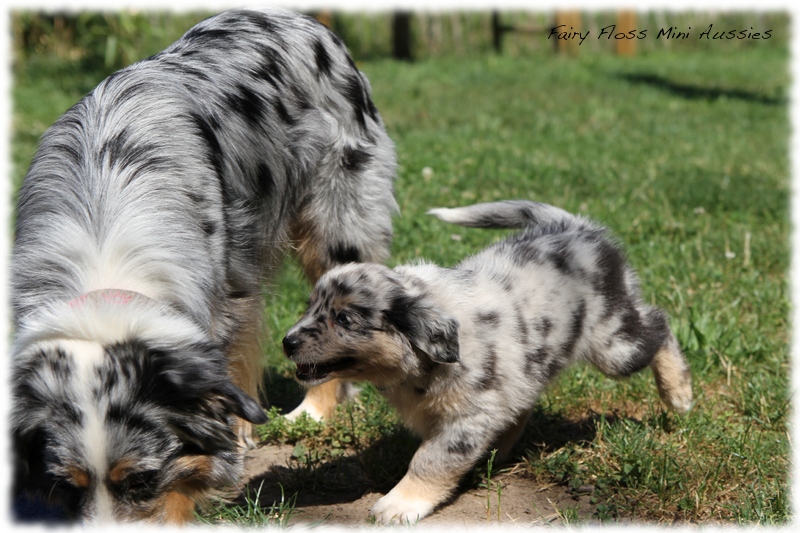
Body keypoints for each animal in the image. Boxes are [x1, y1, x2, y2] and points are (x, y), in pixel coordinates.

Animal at [10, 7, 398, 524]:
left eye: (142, 479)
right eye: (67, 484)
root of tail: (296, 17)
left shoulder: (226, 302)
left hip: (337, 223)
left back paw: (310, 414)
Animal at [284, 200, 692, 524]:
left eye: (344, 319)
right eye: (310, 308)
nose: (287, 343)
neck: (423, 362)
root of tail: (577, 228)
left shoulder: (468, 418)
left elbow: (429, 460)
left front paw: (399, 505)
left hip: (614, 344)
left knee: (659, 324)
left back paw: (679, 394)